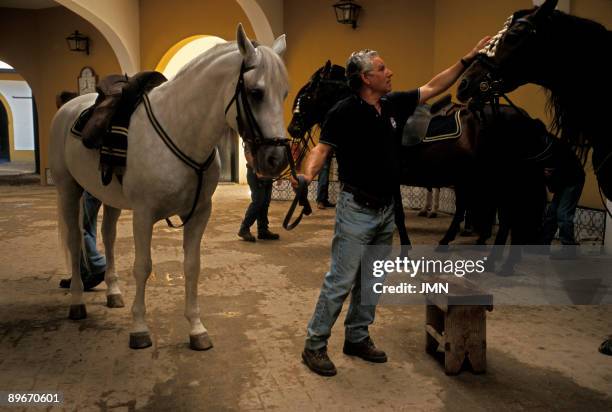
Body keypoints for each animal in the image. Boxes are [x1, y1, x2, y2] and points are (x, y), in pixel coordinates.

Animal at [48, 24, 290, 350]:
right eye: (256, 92)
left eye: (285, 92)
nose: (276, 159)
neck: (180, 130)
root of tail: (70, 105)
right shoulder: (143, 214)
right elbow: (143, 266)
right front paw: (139, 328)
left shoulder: (199, 214)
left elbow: (192, 266)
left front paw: (197, 329)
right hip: (68, 189)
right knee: (75, 242)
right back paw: (76, 300)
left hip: (107, 198)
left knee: (108, 237)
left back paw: (113, 293)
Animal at [288, 60, 548, 258]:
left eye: (307, 94)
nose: (293, 128)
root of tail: (525, 118)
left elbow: (399, 214)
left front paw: (404, 246)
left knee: (503, 217)